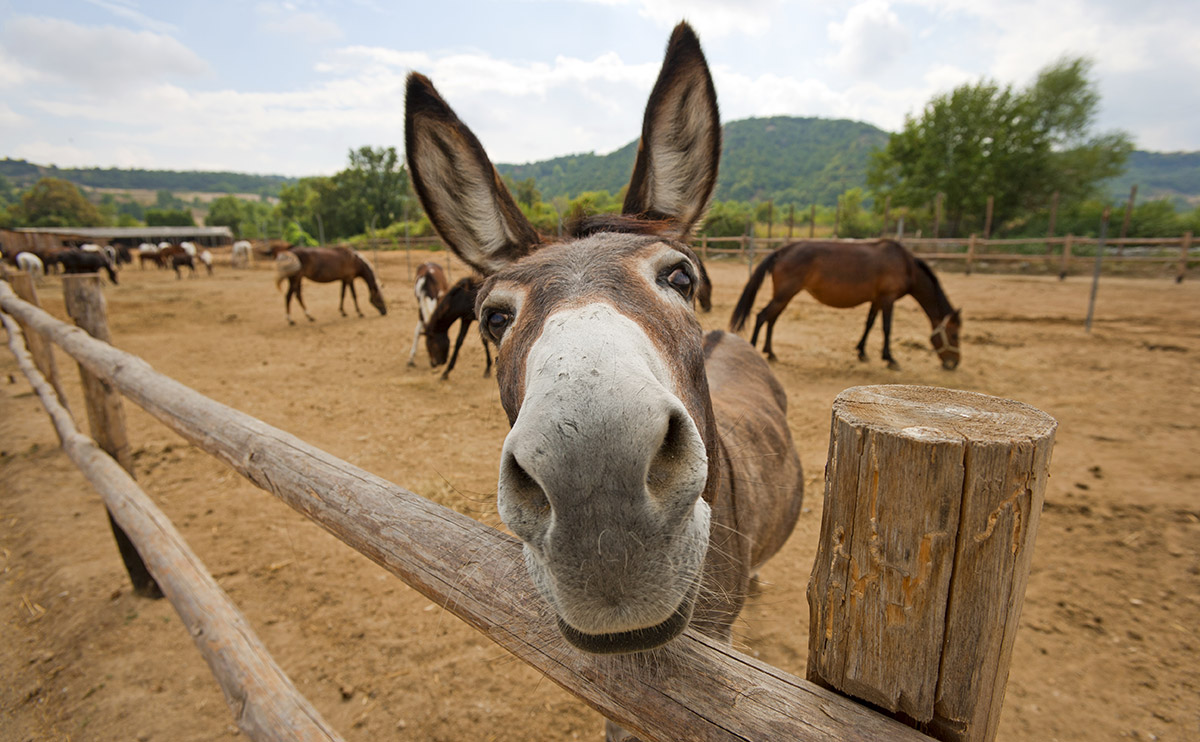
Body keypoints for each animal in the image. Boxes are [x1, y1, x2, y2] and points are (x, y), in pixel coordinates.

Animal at [724, 238, 960, 367]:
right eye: (954, 334)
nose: (954, 363)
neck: (905, 265)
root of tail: (782, 250)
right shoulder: (888, 299)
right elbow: (886, 328)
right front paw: (890, 358)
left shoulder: (876, 300)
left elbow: (869, 324)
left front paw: (862, 352)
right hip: (784, 294)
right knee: (762, 316)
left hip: (785, 296)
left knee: (771, 319)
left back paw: (770, 352)